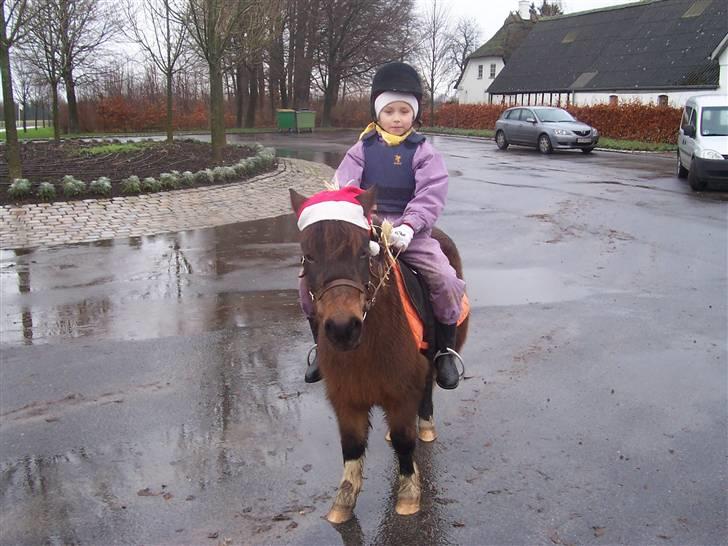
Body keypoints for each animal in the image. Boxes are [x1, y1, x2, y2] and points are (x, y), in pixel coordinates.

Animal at [288, 187, 470, 524]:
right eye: (308, 255)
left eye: (364, 252)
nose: (343, 328)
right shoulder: (345, 397)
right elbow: (351, 445)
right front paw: (343, 502)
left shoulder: (401, 390)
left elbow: (403, 440)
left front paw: (408, 495)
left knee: (428, 389)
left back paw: (426, 425)